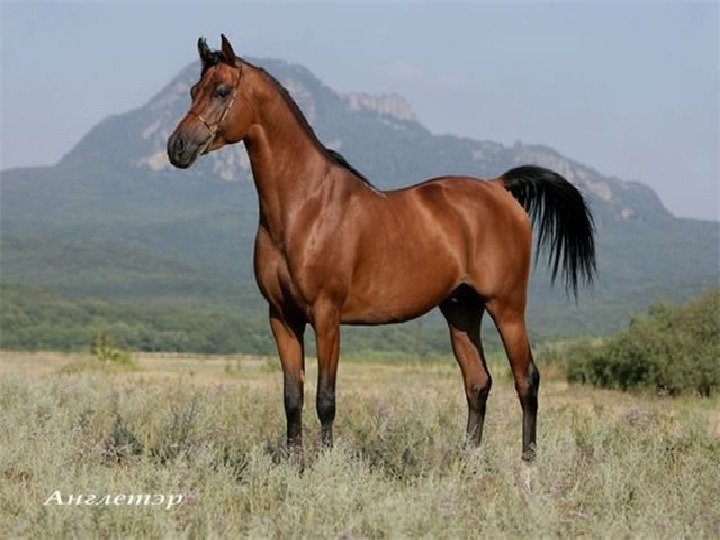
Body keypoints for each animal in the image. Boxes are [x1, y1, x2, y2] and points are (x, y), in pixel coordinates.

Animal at [168, 35, 595, 462]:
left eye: (222, 91)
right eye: (192, 90)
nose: (177, 147)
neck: (304, 207)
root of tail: (498, 187)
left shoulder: (326, 315)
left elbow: (325, 399)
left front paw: (324, 464)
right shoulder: (281, 317)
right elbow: (292, 397)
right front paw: (294, 463)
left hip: (507, 307)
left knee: (527, 380)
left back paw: (528, 463)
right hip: (461, 310)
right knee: (478, 382)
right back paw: (467, 459)